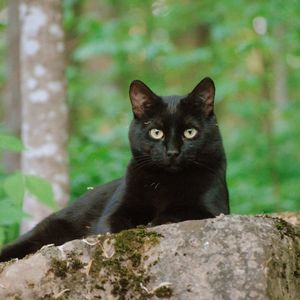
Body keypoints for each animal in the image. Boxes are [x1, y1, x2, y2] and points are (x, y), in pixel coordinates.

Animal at [0, 77, 229, 262]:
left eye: (190, 132)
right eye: (156, 132)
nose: (172, 152)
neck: (165, 182)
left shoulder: (213, 209)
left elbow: (180, 212)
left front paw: (153, 223)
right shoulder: (117, 209)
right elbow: (111, 228)